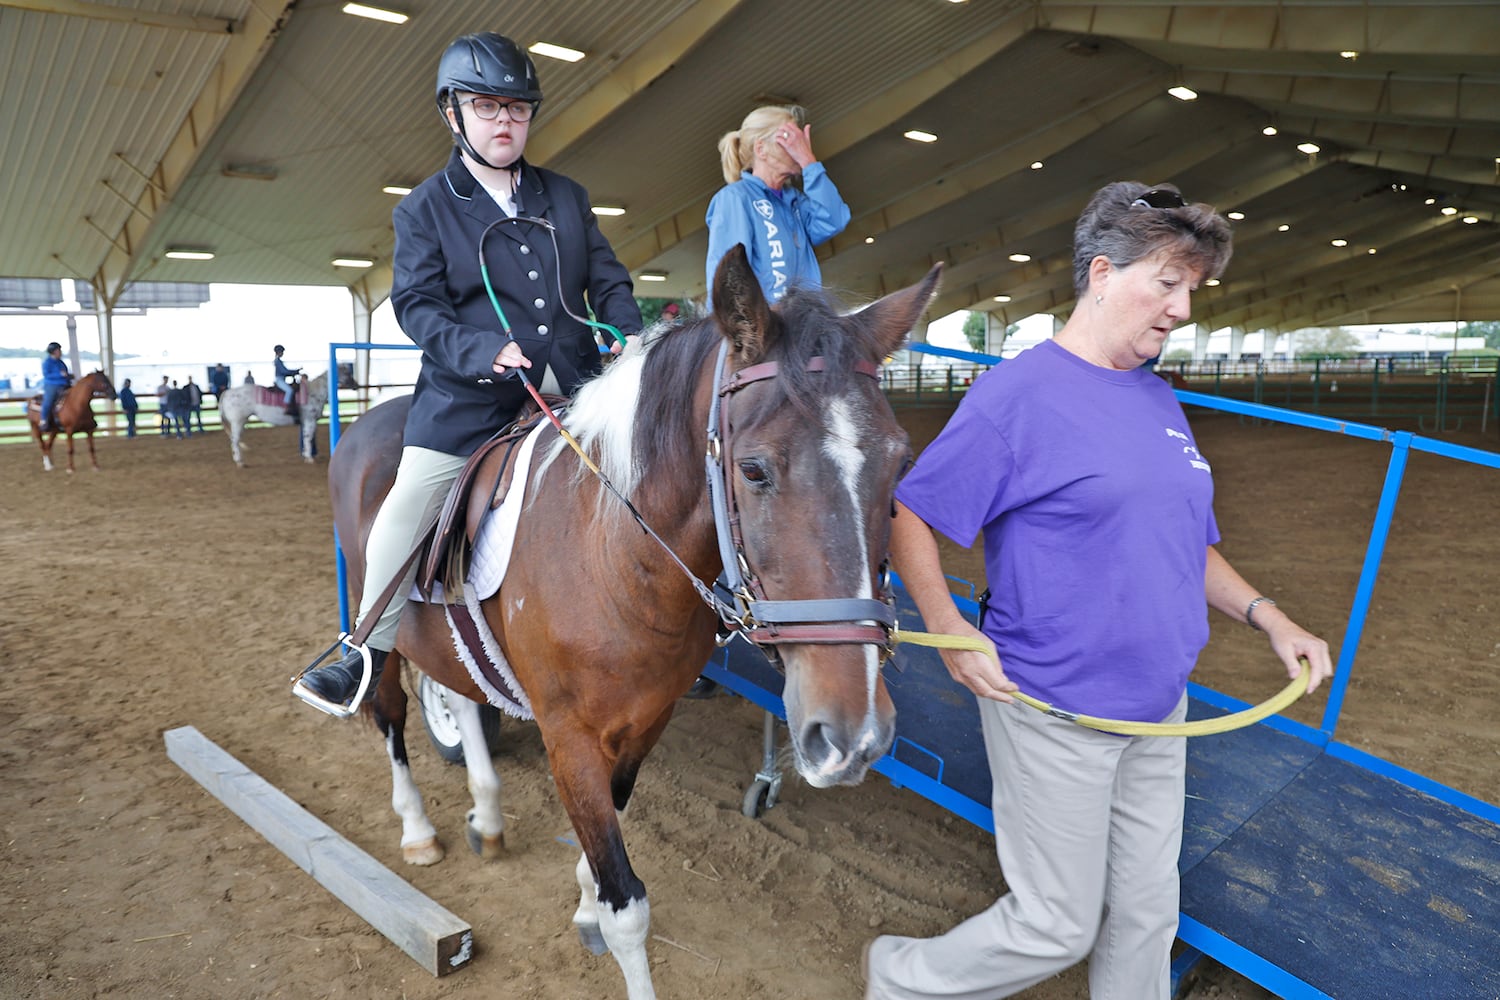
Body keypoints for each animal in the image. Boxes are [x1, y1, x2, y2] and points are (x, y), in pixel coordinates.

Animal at [327, 244, 936, 1000]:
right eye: (753, 470)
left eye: (900, 464)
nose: (854, 736)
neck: (616, 556)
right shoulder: (569, 738)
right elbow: (629, 909)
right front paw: (602, 912)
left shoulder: (645, 722)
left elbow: (608, 829)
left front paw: (585, 899)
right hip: (378, 627)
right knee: (388, 710)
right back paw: (416, 830)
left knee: (463, 699)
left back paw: (488, 814)